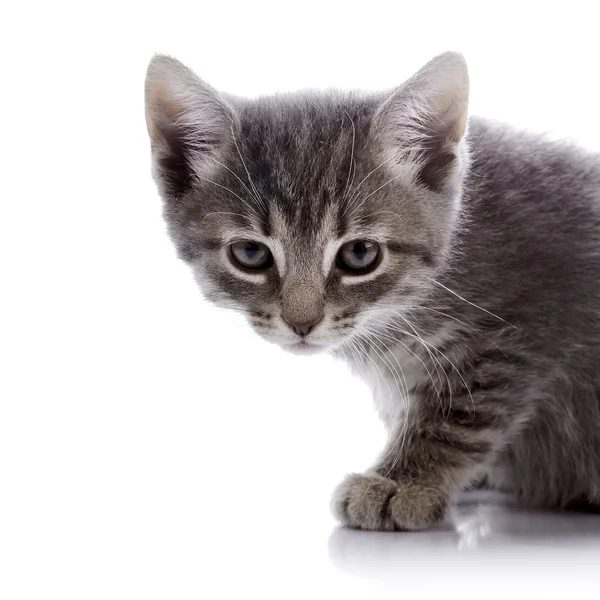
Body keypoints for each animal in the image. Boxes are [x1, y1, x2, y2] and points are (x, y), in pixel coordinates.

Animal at [146, 51, 600, 528]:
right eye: (250, 253)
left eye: (360, 254)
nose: (301, 323)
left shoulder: (521, 328)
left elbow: (460, 412)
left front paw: (402, 482)